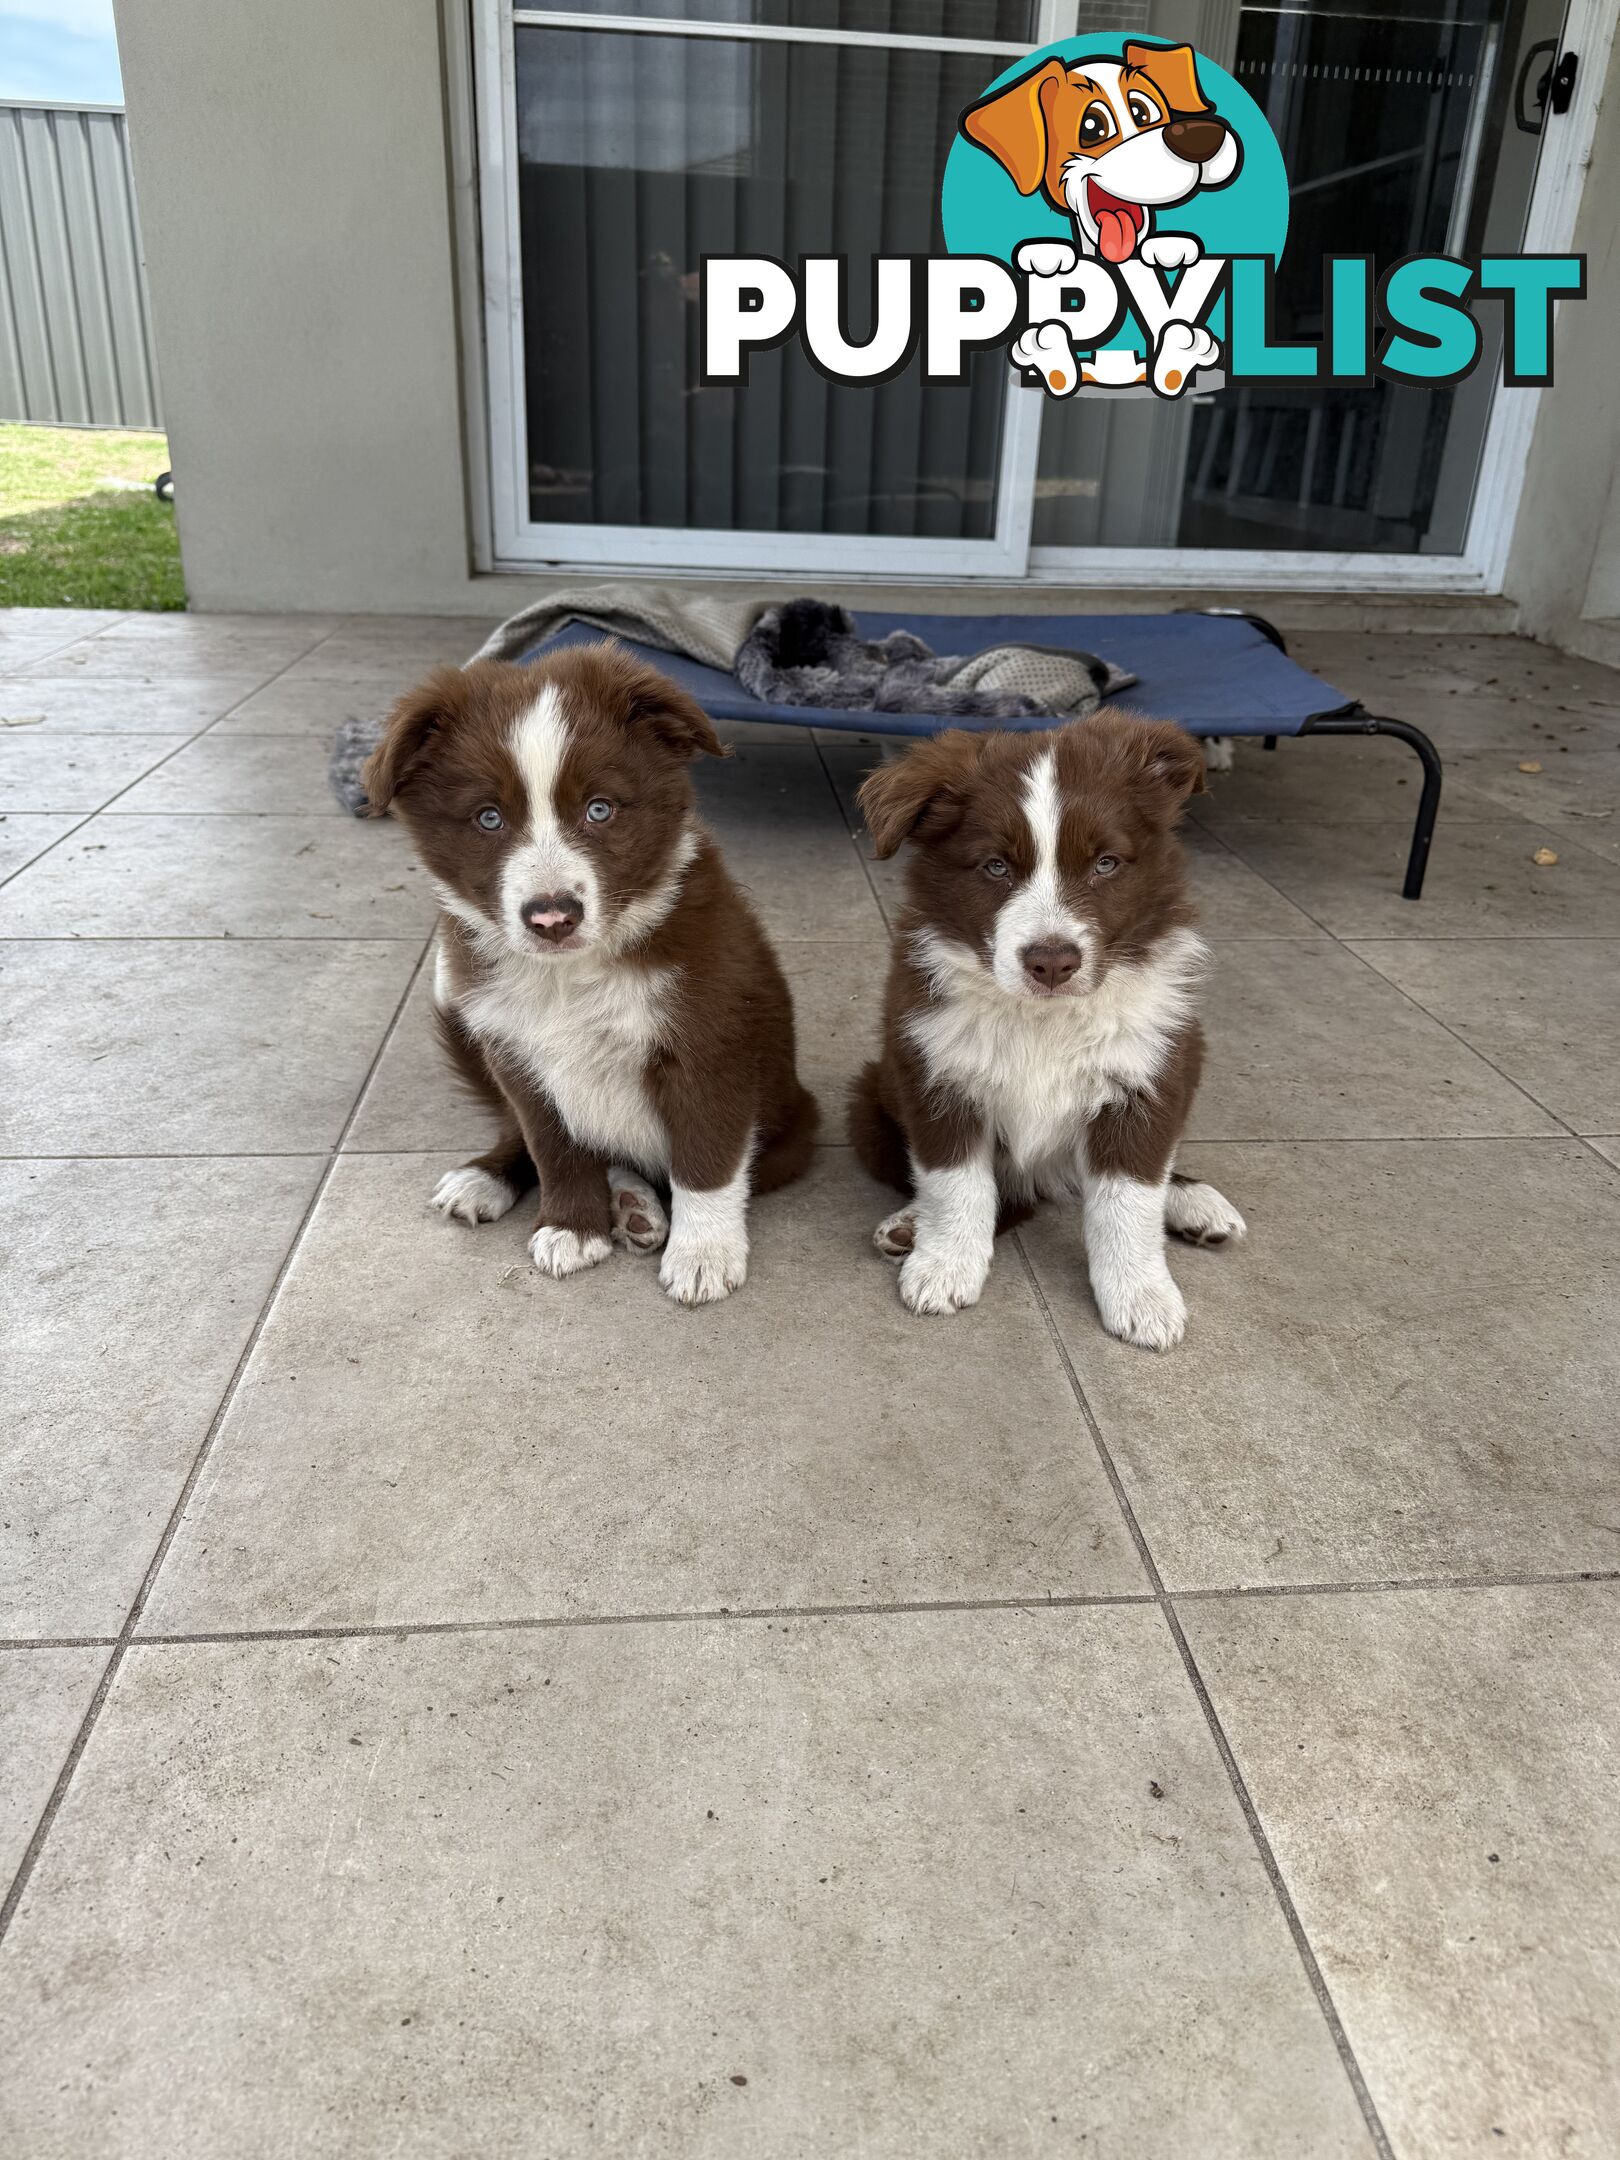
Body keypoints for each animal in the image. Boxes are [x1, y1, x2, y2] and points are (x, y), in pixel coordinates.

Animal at [369, 639, 825, 1304]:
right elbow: (551, 1147)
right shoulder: (517, 1056)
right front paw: (572, 1228)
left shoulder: (709, 1046)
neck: (569, 977)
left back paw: (640, 1208)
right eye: (487, 818)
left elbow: (705, 1161)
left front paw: (703, 1256)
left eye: (600, 809)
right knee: (530, 1136)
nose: (552, 917)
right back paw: (500, 1180)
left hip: (791, 1129)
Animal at [842, 712, 1252, 1347]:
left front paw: (1143, 1297)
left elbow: (1129, 1199)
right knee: (1004, 1192)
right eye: (996, 866)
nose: (1053, 963)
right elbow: (957, 1184)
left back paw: (1194, 1202)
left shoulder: (1148, 1078)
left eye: (1105, 863)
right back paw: (911, 1228)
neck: (1045, 1018)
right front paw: (944, 1266)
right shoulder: (936, 1074)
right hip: (870, 1104)